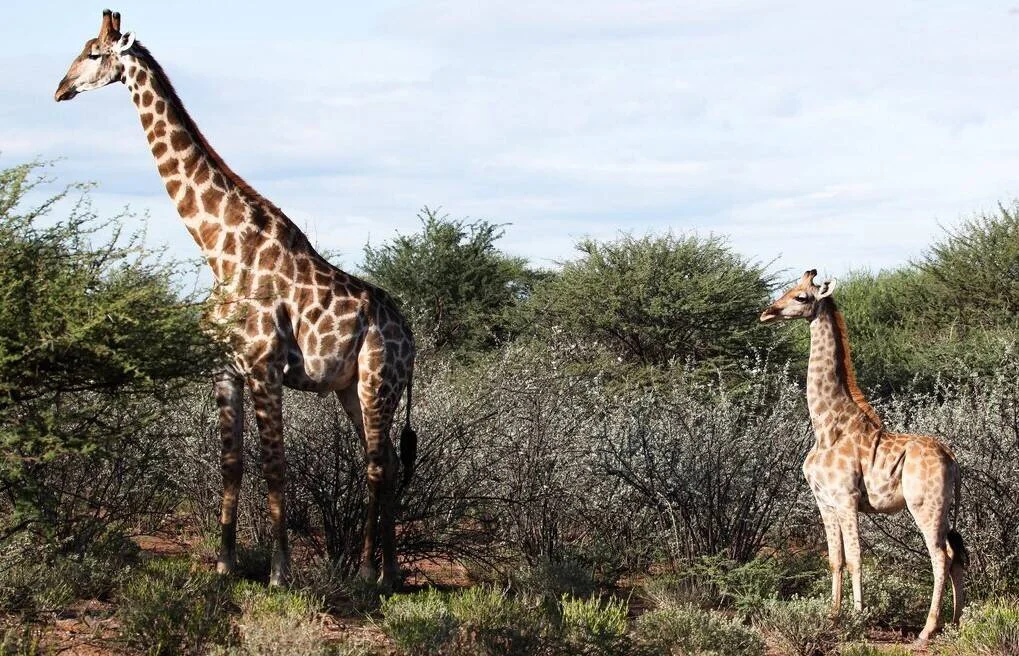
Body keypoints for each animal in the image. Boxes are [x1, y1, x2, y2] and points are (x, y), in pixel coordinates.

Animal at [54, 10, 418, 589]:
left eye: (92, 53)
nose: (60, 89)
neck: (219, 250)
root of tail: (411, 336)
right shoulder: (224, 369)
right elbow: (232, 463)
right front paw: (224, 565)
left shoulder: (265, 367)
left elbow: (274, 466)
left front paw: (279, 572)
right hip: (350, 387)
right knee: (381, 462)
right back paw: (388, 573)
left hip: (376, 381)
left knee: (378, 465)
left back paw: (367, 571)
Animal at [760, 269, 967, 642]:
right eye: (790, 289)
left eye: (801, 297)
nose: (767, 312)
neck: (827, 426)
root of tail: (952, 459)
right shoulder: (824, 501)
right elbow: (835, 559)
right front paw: (832, 615)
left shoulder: (846, 498)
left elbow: (856, 557)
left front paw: (856, 618)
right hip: (942, 509)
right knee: (956, 554)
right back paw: (955, 623)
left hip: (925, 505)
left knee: (941, 556)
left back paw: (927, 629)